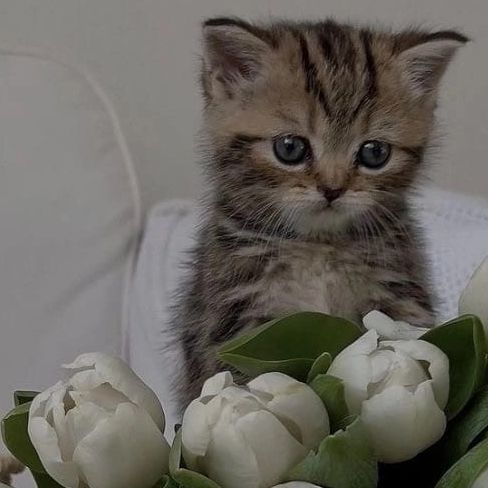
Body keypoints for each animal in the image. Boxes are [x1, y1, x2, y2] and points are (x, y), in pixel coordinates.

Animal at [173, 17, 468, 408]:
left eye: (375, 153)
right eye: (290, 148)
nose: (332, 189)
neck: (319, 247)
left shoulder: (401, 298)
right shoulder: (236, 319)